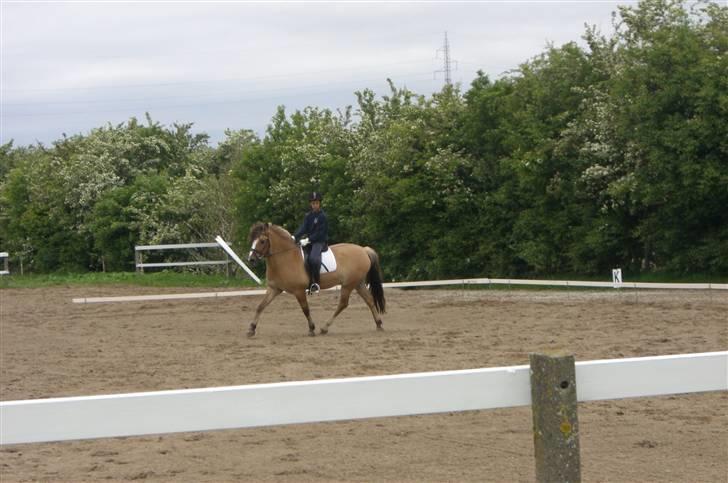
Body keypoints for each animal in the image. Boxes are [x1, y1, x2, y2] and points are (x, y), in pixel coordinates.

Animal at [247, 223, 386, 336]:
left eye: (262, 241)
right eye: (252, 239)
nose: (251, 259)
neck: (285, 257)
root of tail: (363, 249)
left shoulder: (299, 291)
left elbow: (305, 309)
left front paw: (311, 329)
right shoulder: (274, 288)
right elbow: (261, 306)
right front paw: (251, 329)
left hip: (348, 284)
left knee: (343, 304)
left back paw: (324, 328)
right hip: (358, 283)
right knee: (369, 300)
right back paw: (379, 324)